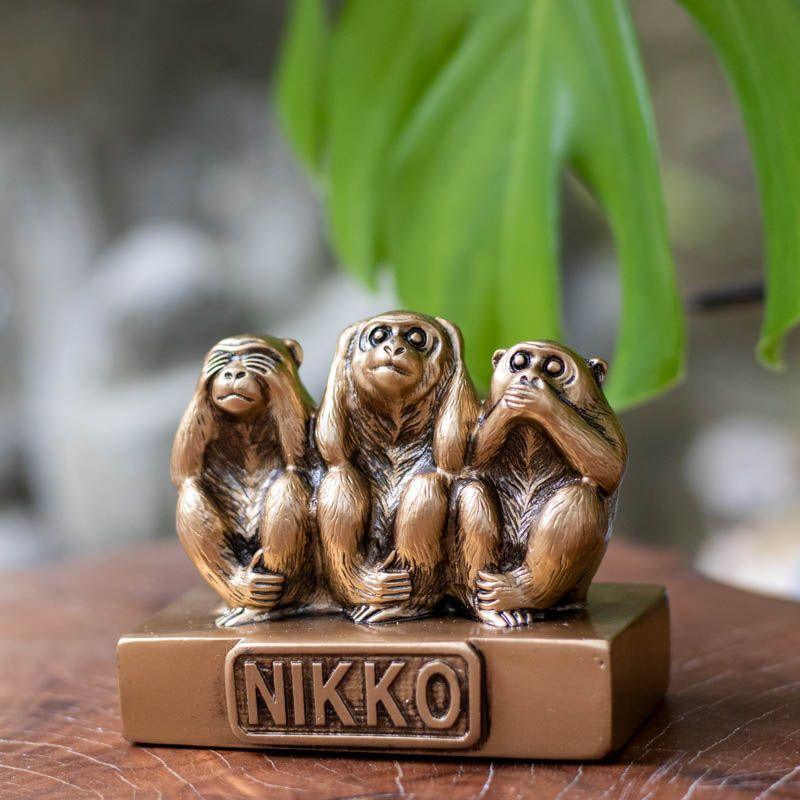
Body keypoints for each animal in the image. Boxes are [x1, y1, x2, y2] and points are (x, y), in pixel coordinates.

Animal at [170, 334, 319, 627]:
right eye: (222, 359)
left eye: (255, 356)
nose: (234, 372)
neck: (247, 422)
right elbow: (184, 473)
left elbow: (303, 460)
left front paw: (274, 375)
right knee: (192, 495)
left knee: (289, 483)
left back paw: (264, 609)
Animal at [315, 311, 480, 623]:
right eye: (378, 335)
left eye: (417, 337)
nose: (393, 347)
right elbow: (335, 457)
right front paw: (370, 587)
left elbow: (446, 464)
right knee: (342, 478)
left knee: (438, 486)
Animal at [452, 340, 627, 628]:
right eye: (519, 362)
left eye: (554, 367)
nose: (528, 378)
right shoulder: (482, 411)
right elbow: (471, 457)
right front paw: (510, 404)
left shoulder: (605, 418)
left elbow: (610, 464)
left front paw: (541, 401)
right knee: (472, 490)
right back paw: (492, 609)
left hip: (576, 585)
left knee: (578, 499)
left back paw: (518, 594)